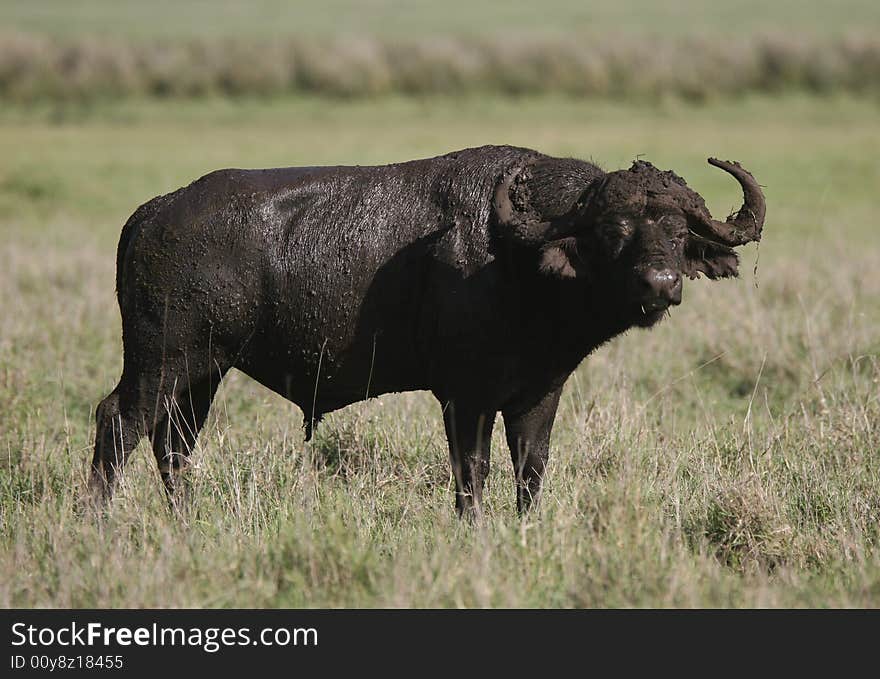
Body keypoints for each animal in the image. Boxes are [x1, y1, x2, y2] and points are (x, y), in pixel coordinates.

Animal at [89, 145, 764, 516]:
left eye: (677, 230)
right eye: (613, 230)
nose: (659, 283)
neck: (516, 261)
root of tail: (150, 214)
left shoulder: (539, 394)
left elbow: (531, 470)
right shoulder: (464, 398)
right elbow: (472, 472)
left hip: (204, 372)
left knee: (173, 445)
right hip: (161, 361)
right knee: (118, 423)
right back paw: (98, 520)